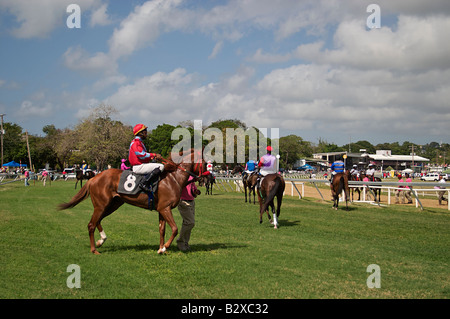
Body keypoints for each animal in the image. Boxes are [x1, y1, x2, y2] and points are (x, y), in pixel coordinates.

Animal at [58, 149, 204, 256]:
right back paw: (94, 249)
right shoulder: (165, 208)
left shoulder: (162, 209)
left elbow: (162, 230)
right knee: (91, 224)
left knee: (97, 221)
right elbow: (174, 228)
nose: (204, 177)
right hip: (101, 205)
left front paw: (161, 248)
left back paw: (101, 240)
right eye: (203, 161)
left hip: (112, 205)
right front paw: (164, 247)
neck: (173, 178)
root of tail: (93, 178)